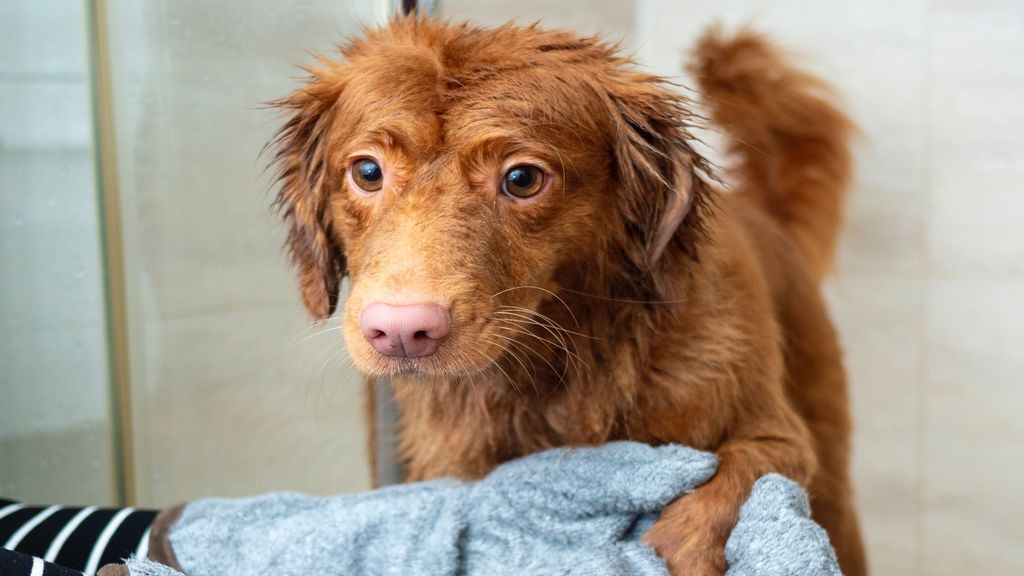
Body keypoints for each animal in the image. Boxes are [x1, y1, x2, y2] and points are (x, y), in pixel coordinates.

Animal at [270, 17, 864, 573]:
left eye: (522, 179)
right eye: (368, 171)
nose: (400, 331)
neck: (552, 375)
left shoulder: (780, 439)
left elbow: (728, 484)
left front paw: (673, 549)